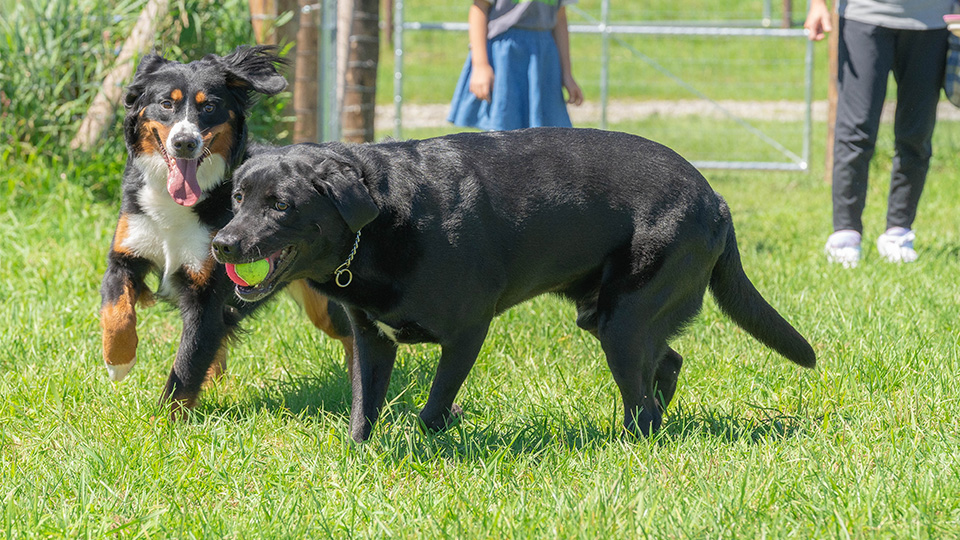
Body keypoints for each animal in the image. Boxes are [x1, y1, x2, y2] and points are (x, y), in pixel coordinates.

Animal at [99, 47, 352, 418]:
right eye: (166, 103)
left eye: (209, 107)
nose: (185, 143)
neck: (178, 205)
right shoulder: (126, 253)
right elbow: (115, 310)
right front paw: (119, 360)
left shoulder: (208, 294)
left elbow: (187, 364)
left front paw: (165, 423)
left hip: (325, 304)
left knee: (351, 335)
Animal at [210, 129, 816, 440]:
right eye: (237, 197)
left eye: (282, 206)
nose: (223, 244)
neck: (383, 221)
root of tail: (716, 198)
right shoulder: (371, 339)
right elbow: (364, 409)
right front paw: (360, 456)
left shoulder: (467, 331)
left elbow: (434, 404)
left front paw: (427, 446)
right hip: (606, 314)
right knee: (666, 364)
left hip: (623, 320)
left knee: (642, 395)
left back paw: (630, 440)